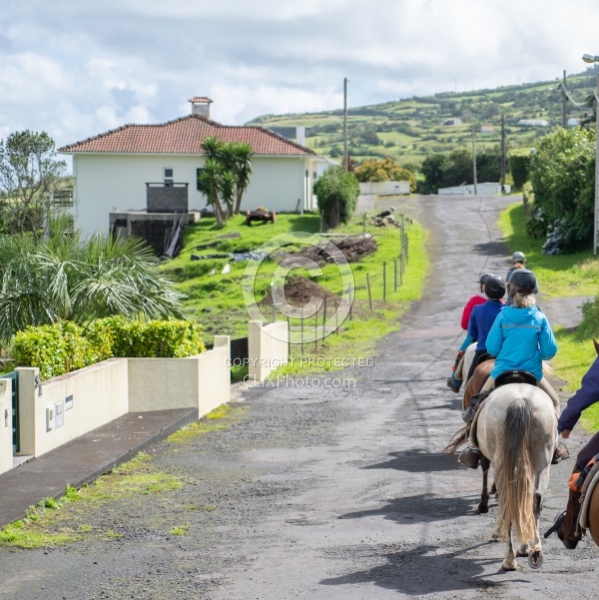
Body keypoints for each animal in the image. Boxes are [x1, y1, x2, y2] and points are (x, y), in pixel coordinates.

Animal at [446, 380, 556, 572]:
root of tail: (520, 401)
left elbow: (485, 471)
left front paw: (486, 510)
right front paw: (525, 546)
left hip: (502, 462)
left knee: (509, 501)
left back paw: (509, 559)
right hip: (542, 464)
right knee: (534, 500)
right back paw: (533, 549)